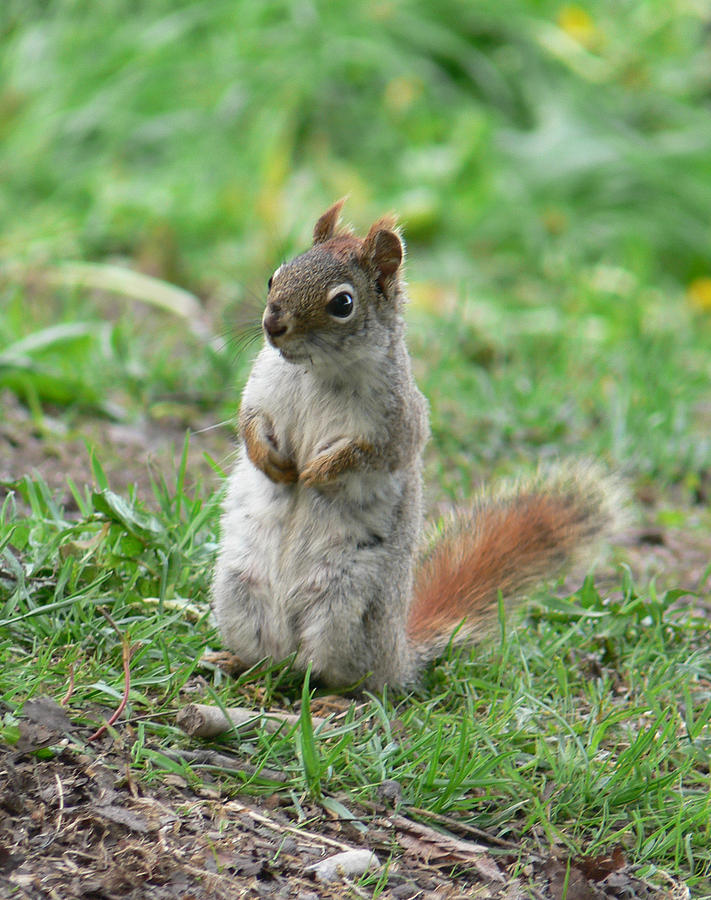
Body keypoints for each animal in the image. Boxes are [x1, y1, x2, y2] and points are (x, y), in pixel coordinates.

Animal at [211, 200, 624, 692]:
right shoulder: (261, 392)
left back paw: (335, 693)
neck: (315, 370)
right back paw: (239, 662)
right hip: (239, 592)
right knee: (272, 658)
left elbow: (370, 454)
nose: (273, 323)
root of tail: (398, 654)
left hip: (343, 611)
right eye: (275, 276)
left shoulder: (399, 423)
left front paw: (316, 472)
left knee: (347, 677)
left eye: (342, 303)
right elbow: (249, 424)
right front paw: (273, 463)